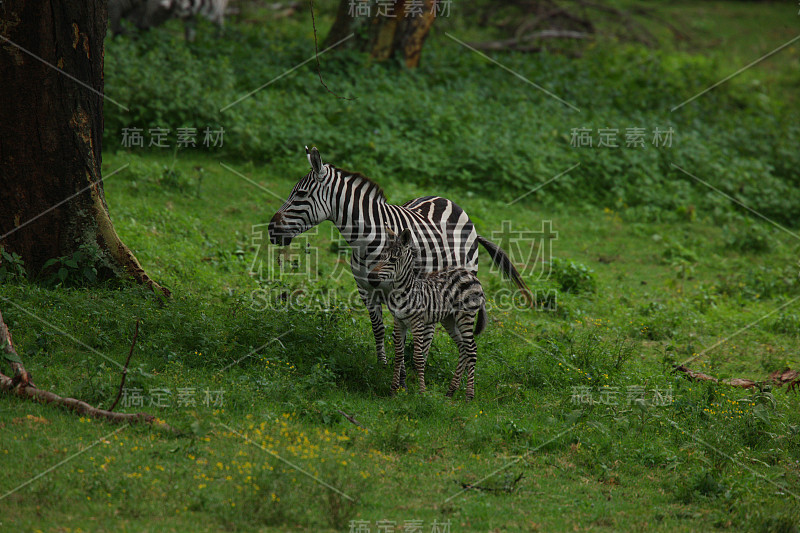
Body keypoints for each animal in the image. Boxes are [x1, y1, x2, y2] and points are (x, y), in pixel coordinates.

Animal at [370, 225, 488, 400]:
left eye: (392, 260)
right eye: (380, 257)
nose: (371, 277)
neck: (403, 292)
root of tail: (470, 275)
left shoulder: (417, 322)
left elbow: (418, 357)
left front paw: (422, 392)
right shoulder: (399, 321)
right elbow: (398, 356)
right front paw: (393, 391)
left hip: (466, 316)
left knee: (472, 349)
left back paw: (468, 396)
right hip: (449, 319)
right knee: (463, 348)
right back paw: (450, 391)